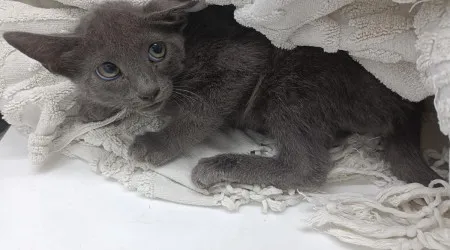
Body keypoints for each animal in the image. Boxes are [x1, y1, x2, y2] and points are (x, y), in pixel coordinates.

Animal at [2, 0, 440, 189]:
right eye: (108, 70)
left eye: (156, 50)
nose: (149, 91)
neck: (187, 43)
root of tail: (410, 104)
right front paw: (89, 105)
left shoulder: (245, 57)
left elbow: (201, 111)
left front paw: (157, 143)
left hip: (296, 77)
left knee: (308, 167)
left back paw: (222, 166)